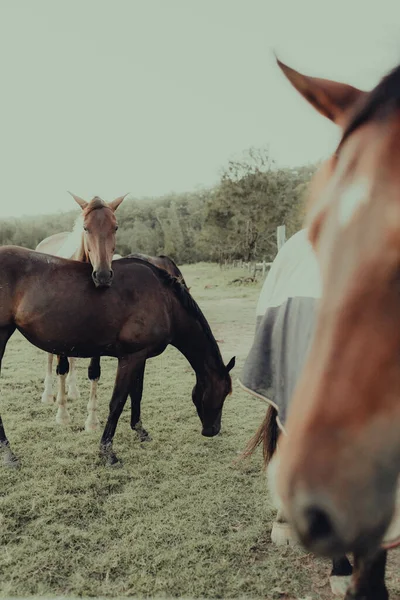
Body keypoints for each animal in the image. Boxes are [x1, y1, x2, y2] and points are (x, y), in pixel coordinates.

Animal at [0, 246, 234, 466]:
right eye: (224, 393)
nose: (213, 430)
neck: (165, 302)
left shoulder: (141, 356)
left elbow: (136, 393)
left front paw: (140, 430)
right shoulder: (130, 358)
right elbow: (117, 402)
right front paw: (107, 452)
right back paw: (9, 454)